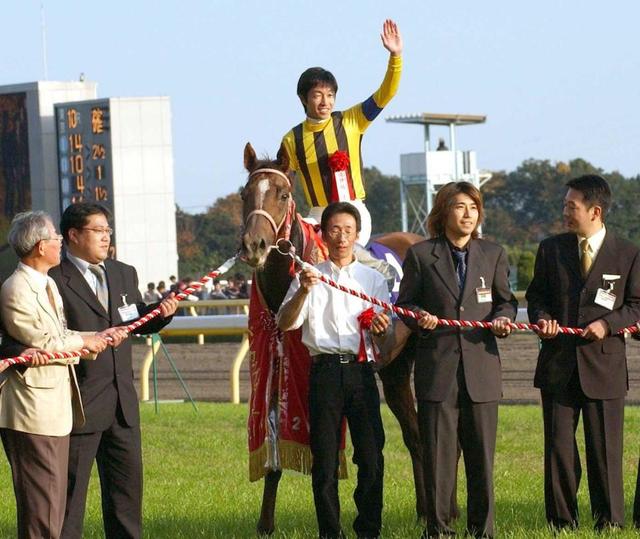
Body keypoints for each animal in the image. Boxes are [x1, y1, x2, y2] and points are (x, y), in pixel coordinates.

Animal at [240, 142, 440, 536]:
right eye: (244, 194)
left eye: (282, 193)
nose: (255, 245)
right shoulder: (272, 365)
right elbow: (273, 448)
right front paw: (265, 523)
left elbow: (325, 451)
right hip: (394, 370)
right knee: (413, 436)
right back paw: (423, 511)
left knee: (419, 435)